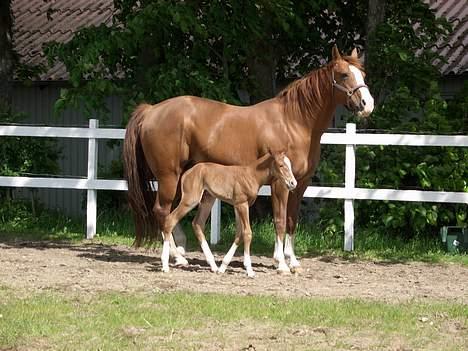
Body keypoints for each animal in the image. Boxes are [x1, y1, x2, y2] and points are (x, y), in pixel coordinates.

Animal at [161, 151, 296, 278]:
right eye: (281, 165)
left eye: (290, 165)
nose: (293, 183)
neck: (251, 175)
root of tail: (186, 174)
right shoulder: (242, 204)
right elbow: (247, 233)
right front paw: (250, 270)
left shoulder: (237, 206)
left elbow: (239, 234)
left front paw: (223, 267)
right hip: (190, 199)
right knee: (170, 220)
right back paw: (166, 265)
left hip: (208, 199)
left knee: (197, 223)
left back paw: (214, 266)